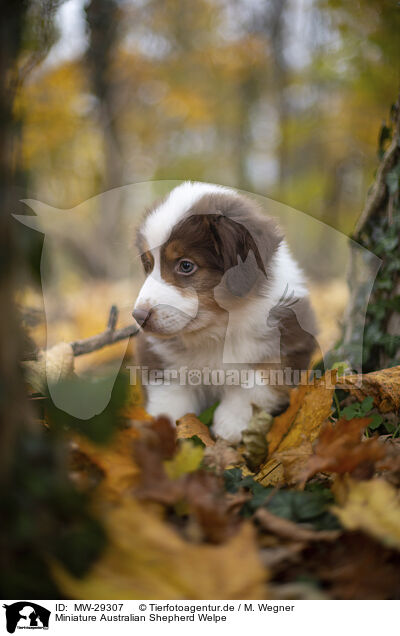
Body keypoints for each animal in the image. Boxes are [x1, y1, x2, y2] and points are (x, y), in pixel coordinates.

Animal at [133, 181, 318, 442]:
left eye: (186, 265)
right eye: (148, 265)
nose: (138, 317)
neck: (217, 329)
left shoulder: (288, 344)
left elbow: (258, 383)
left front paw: (229, 425)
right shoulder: (158, 356)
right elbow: (170, 399)